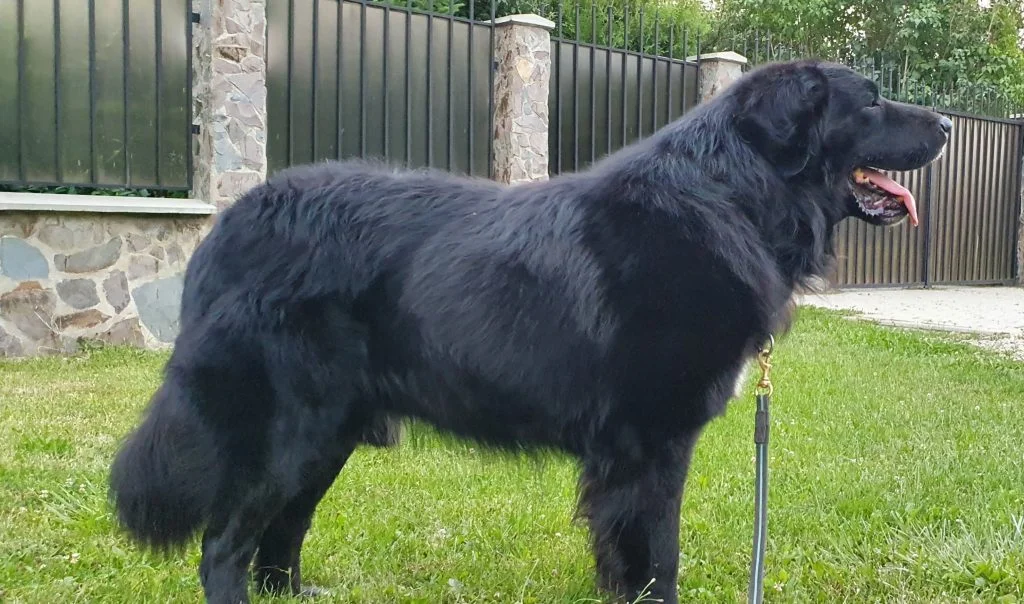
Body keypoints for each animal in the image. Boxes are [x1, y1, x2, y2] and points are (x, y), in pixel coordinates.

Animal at [108, 59, 951, 604]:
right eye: (871, 103)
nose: (945, 121)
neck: (732, 198)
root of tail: (228, 223)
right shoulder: (650, 443)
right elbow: (656, 558)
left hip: (329, 433)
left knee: (281, 532)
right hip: (287, 428)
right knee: (227, 542)